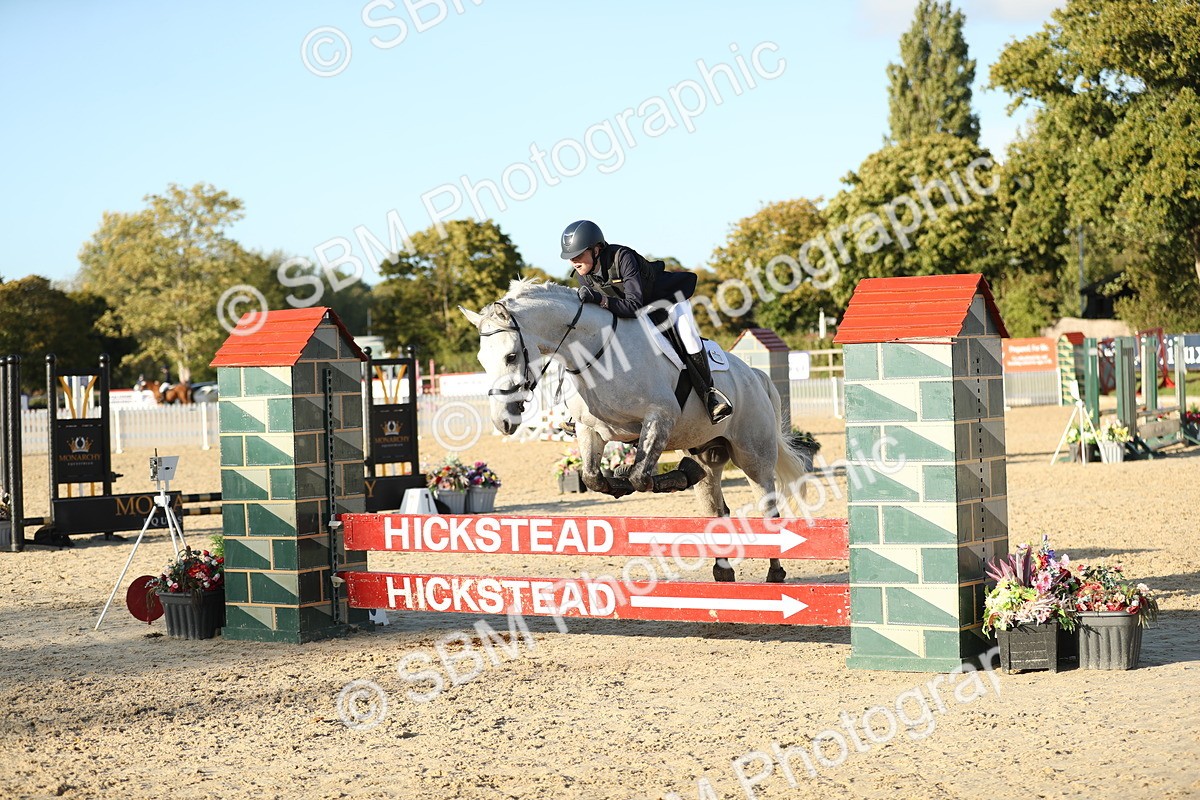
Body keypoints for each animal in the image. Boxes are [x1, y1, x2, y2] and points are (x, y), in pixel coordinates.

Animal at [460, 278, 812, 583]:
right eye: (481, 359)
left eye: (510, 356)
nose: (503, 421)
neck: (594, 350)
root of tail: (753, 374)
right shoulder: (590, 430)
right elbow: (593, 477)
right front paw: (618, 480)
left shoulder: (659, 419)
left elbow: (641, 477)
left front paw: (656, 477)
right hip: (708, 450)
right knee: (714, 506)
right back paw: (721, 568)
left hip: (753, 456)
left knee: (768, 508)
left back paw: (775, 571)